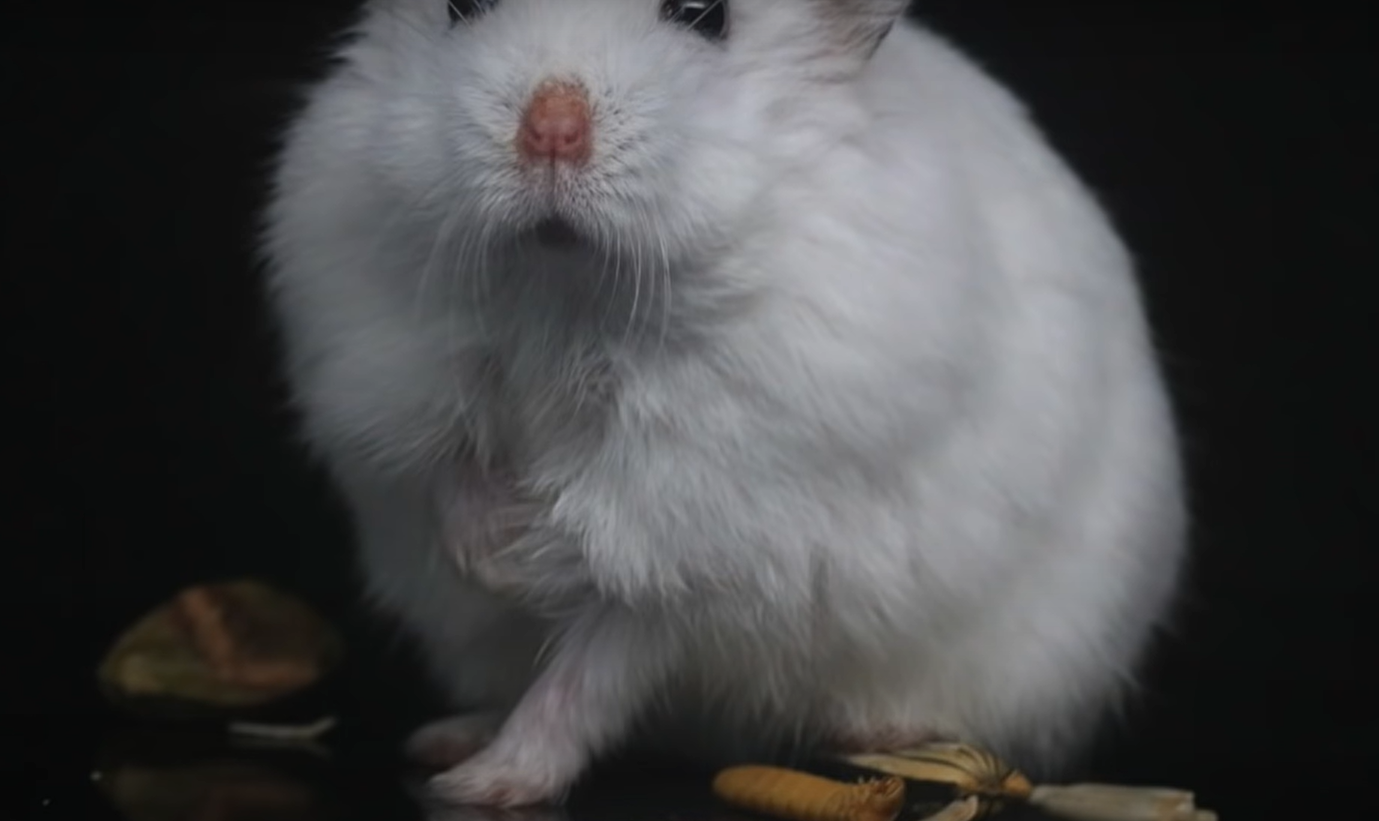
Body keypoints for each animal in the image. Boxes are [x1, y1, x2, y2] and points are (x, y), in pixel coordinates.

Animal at [261, 0, 1187, 808]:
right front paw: (495, 558)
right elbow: (446, 461)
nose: (549, 129)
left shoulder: (695, 536)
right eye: (460, 5)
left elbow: (598, 644)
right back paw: (446, 739)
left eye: (703, 14)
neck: (568, 285)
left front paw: (528, 574)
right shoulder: (391, 367)